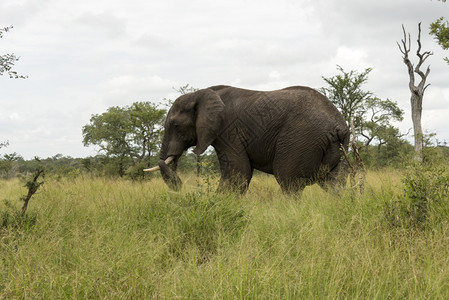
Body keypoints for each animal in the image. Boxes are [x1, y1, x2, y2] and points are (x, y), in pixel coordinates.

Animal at [145, 85, 348, 192]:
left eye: (175, 125)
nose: (179, 186)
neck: (201, 93)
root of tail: (338, 126)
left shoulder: (228, 131)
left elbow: (237, 173)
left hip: (300, 139)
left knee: (289, 182)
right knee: (334, 184)